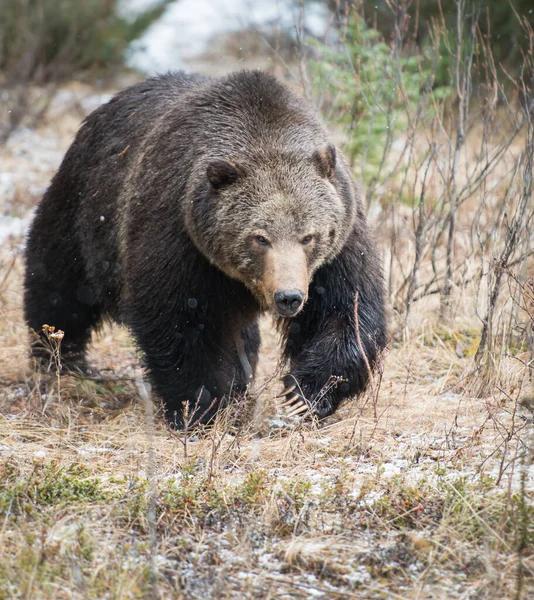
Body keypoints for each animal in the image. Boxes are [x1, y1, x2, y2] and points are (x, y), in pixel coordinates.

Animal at [23, 70, 388, 426]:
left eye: (308, 236)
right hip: (84, 209)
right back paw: (60, 361)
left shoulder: (339, 247)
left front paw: (303, 394)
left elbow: (346, 312)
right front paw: (198, 406)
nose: (289, 297)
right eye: (260, 237)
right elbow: (178, 322)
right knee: (60, 287)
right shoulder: (179, 237)